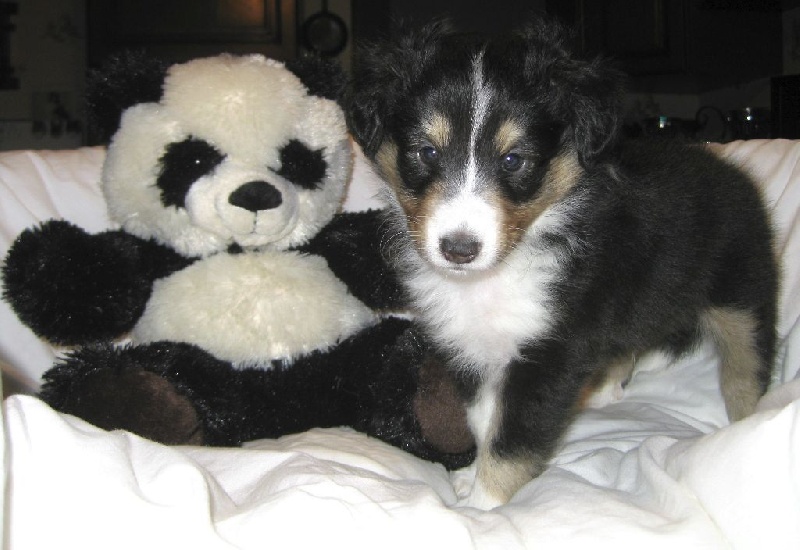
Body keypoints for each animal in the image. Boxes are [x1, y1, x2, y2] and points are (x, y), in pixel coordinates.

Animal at [346, 19, 778, 509]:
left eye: (514, 160)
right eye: (426, 152)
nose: (459, 249)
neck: (496, 273)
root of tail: (729, 169)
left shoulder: (552, 350)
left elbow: (513, 437)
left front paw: (483, 505)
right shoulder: (466, 343)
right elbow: (484, 419)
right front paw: (472, 476)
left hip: (742, 290)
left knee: (747, 364)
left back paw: (746, 429)